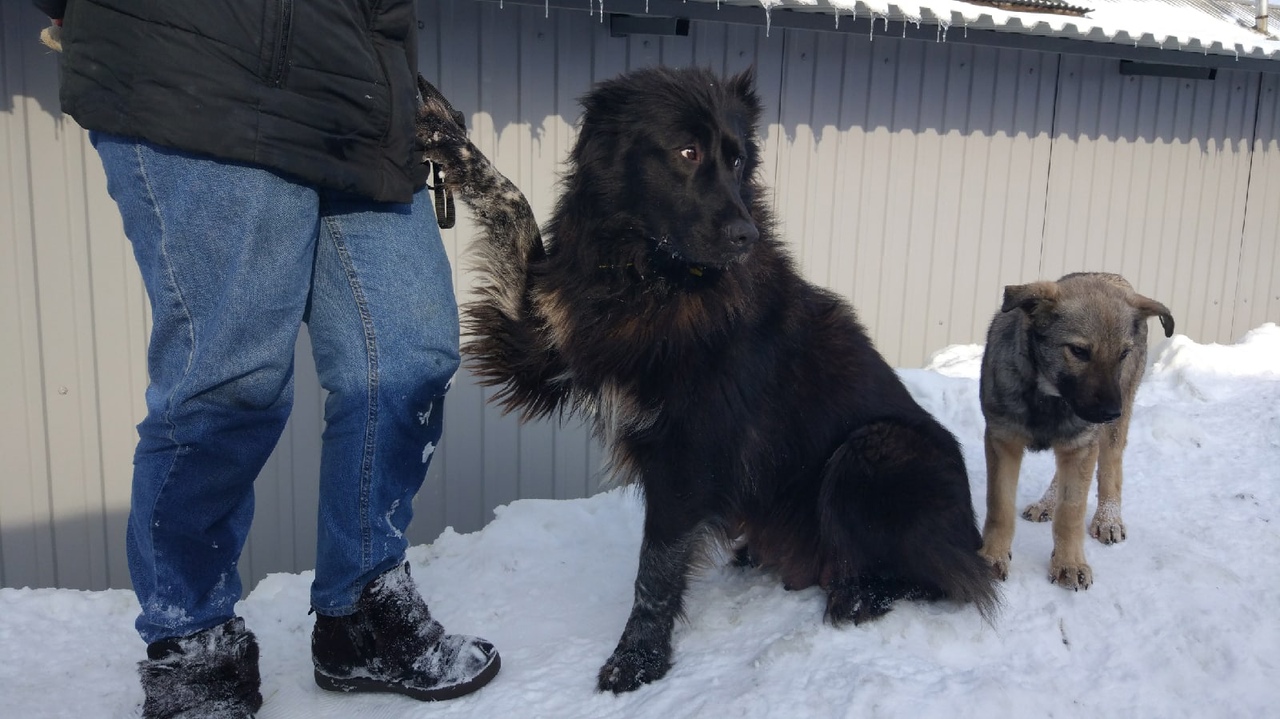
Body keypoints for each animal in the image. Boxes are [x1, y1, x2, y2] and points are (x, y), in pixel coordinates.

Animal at [419, 67, 998, 690]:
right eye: (687, 152)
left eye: (738, 159)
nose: (746, 236)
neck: (653, 277)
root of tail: (973, 540)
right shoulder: (539, 350)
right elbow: (514, 206)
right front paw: (449, 138)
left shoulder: (687, 450)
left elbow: (655, 568)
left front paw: (637, 660)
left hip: (873, 450)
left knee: (939, 580)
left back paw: (856, 596)